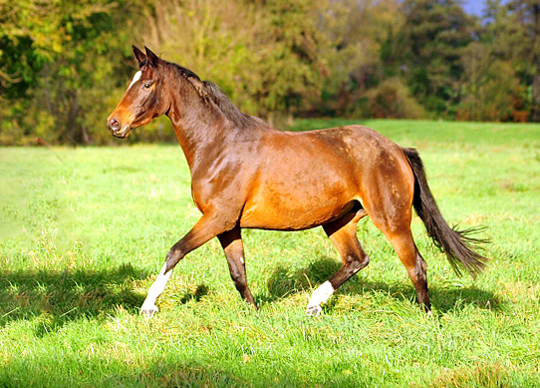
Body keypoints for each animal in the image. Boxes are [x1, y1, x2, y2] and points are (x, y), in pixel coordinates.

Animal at [107, 46, 488, 318]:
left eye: (146, 84)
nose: (114, 124)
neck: (219, 146)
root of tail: (396, 150)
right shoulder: (228, 224)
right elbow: (238, 272)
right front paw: (255, 313)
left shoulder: (216, 218)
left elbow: (176, 251)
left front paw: (148, 306)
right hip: (339, 221)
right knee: (357, 260)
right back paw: (314, 304)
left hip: (392, 220)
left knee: (415, 265)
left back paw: (427, 318)